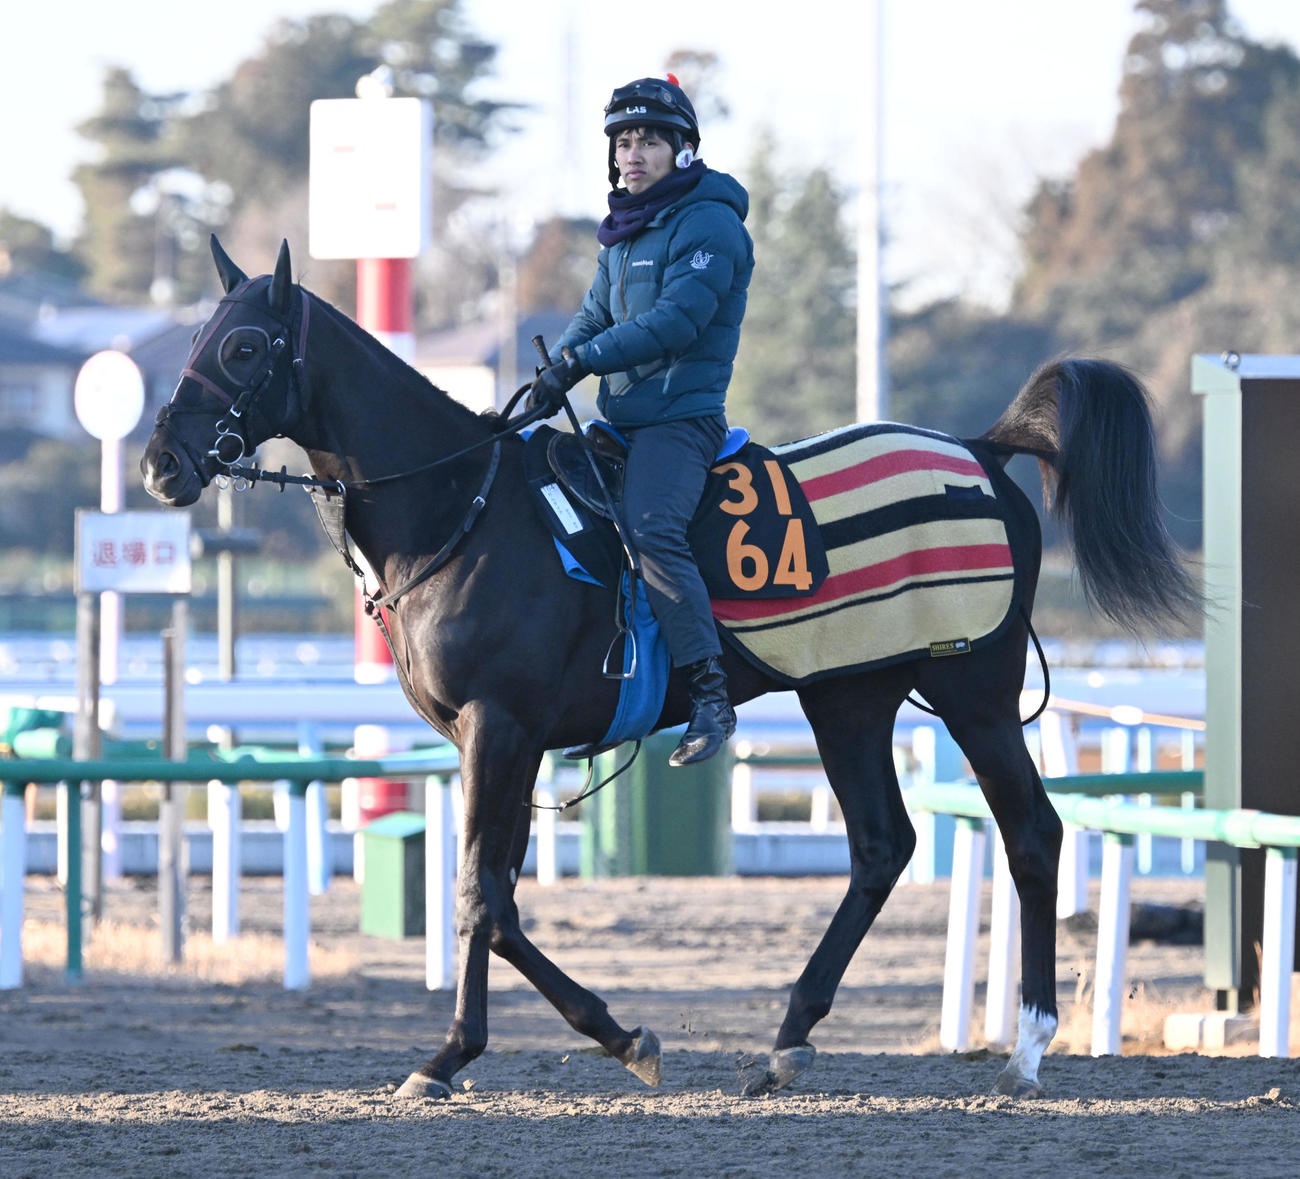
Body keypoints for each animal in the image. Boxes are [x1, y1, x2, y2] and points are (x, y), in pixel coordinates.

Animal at [141, 237, 1199, 1101]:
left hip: (972, 689)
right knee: (881, 846)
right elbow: (501, 896)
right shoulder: (506, 738)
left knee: (1031, 833)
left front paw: (458, 1055)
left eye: (245, 348)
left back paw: (1027, 1045)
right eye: (198, 333)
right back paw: (788, 1039)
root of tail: (978, 450)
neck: (462, 506)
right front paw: (602, 1036)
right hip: (848, 697)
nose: (159, 462)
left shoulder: (499, 725)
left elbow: (480, 890)